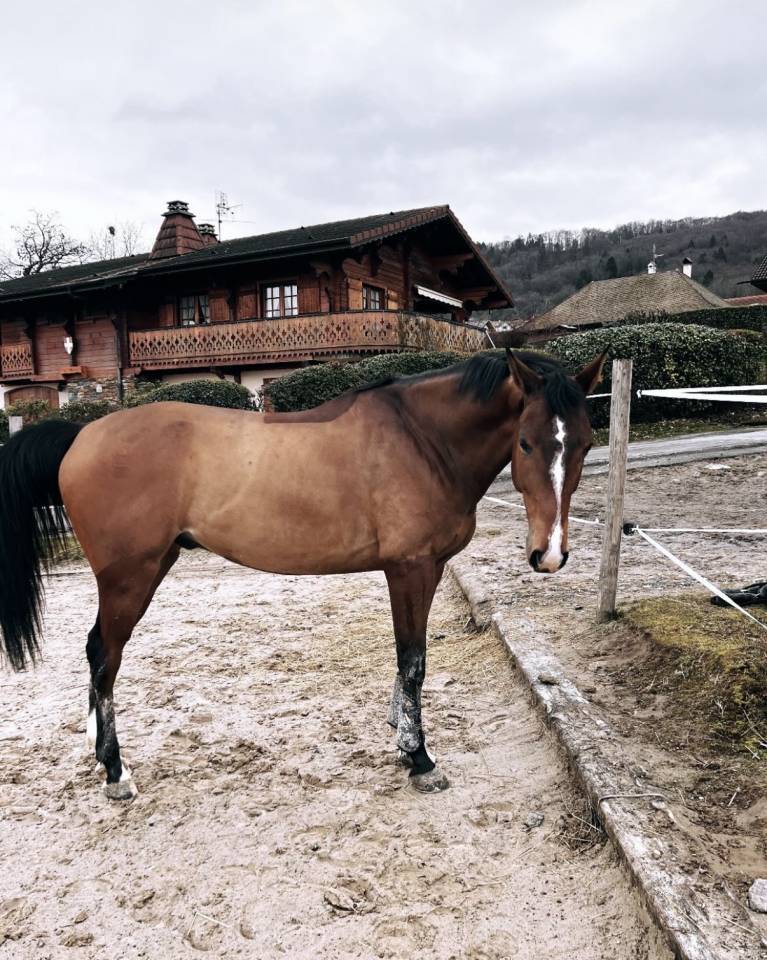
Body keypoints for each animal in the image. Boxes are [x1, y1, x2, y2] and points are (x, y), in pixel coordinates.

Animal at [0, 349, 605, 799]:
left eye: (583, 444)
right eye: (525, 441)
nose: (549, 554)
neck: (421, 439)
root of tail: (80, 436)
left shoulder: (428, 570)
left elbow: (409, 660)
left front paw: (400, 734)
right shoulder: (408, 569)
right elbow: (412, 662)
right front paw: (420, 759)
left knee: (96, 653)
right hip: (130, 578)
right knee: (105, 655)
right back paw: (115, 771)